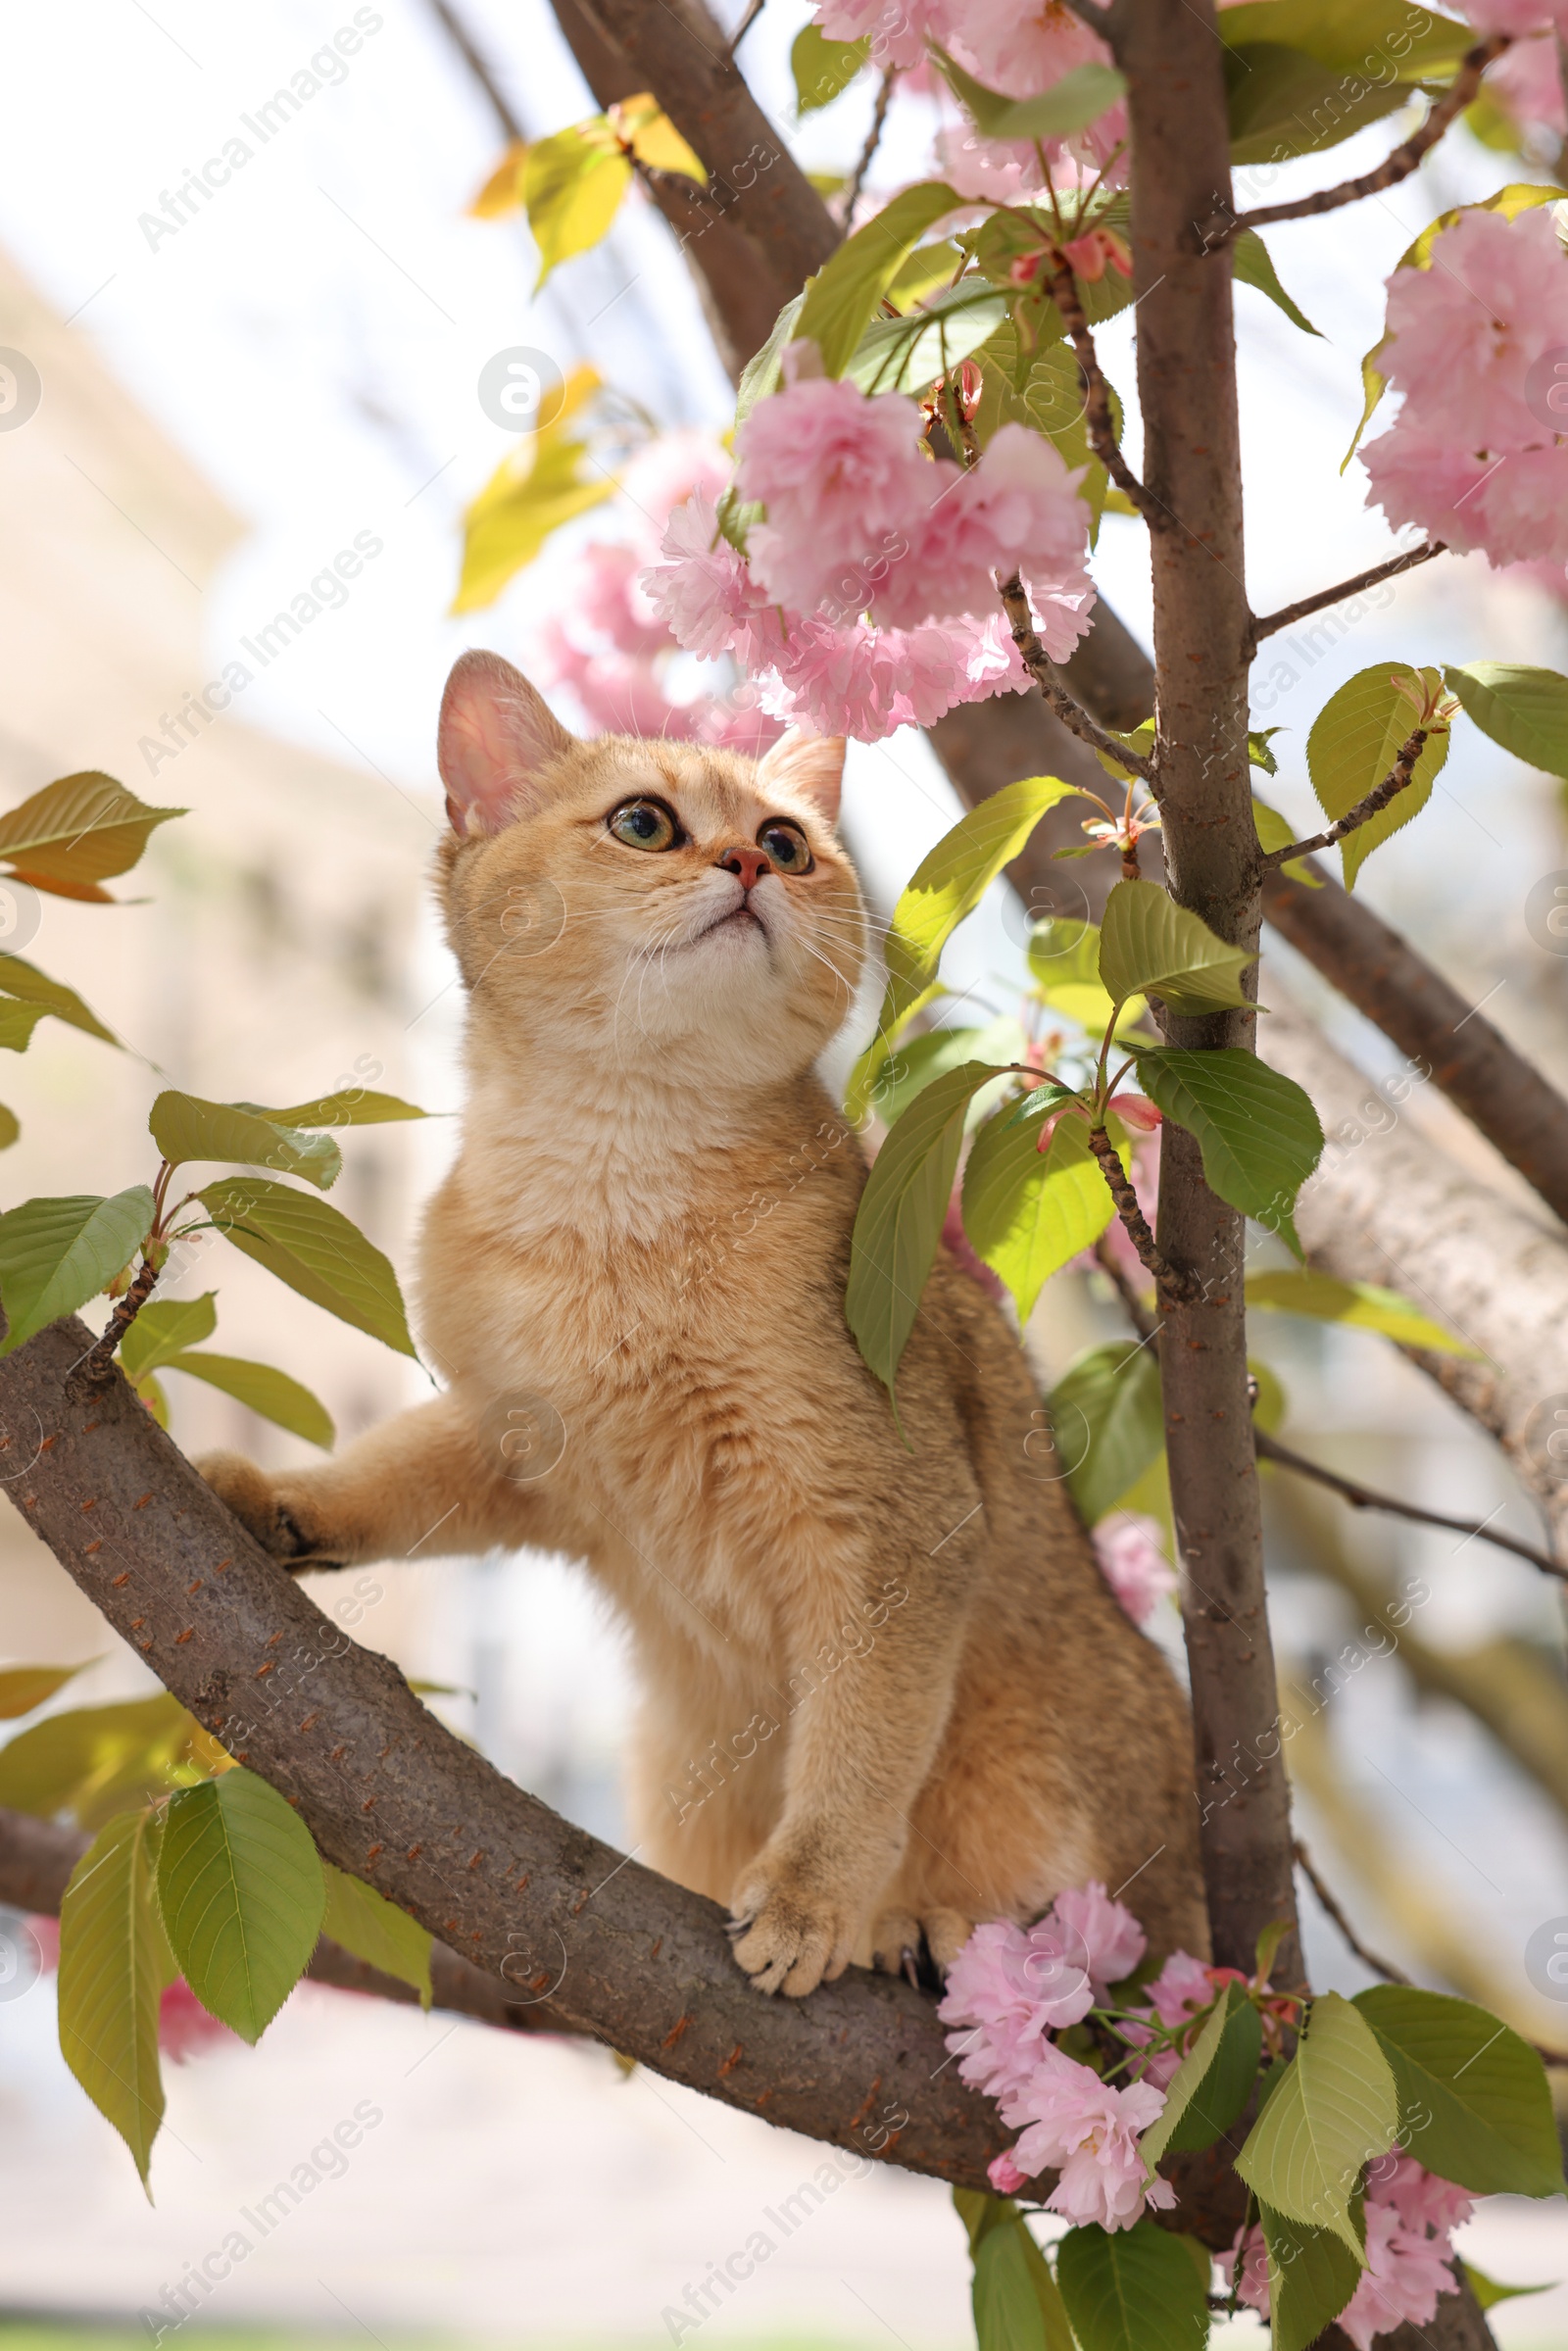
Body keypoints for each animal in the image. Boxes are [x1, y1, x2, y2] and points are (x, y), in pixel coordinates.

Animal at [202, 653, 1212, 1993]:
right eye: (645, 822)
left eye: (787, 841)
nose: (745, 864)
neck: (611, 1196)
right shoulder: (517, 1434)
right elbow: (394, 1473)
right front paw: (280, 1498)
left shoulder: (895, 1527)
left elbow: (859, 1744)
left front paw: (812, 1896)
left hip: (1056, 1776)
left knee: (1094, 1936)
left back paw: (932, 1925)